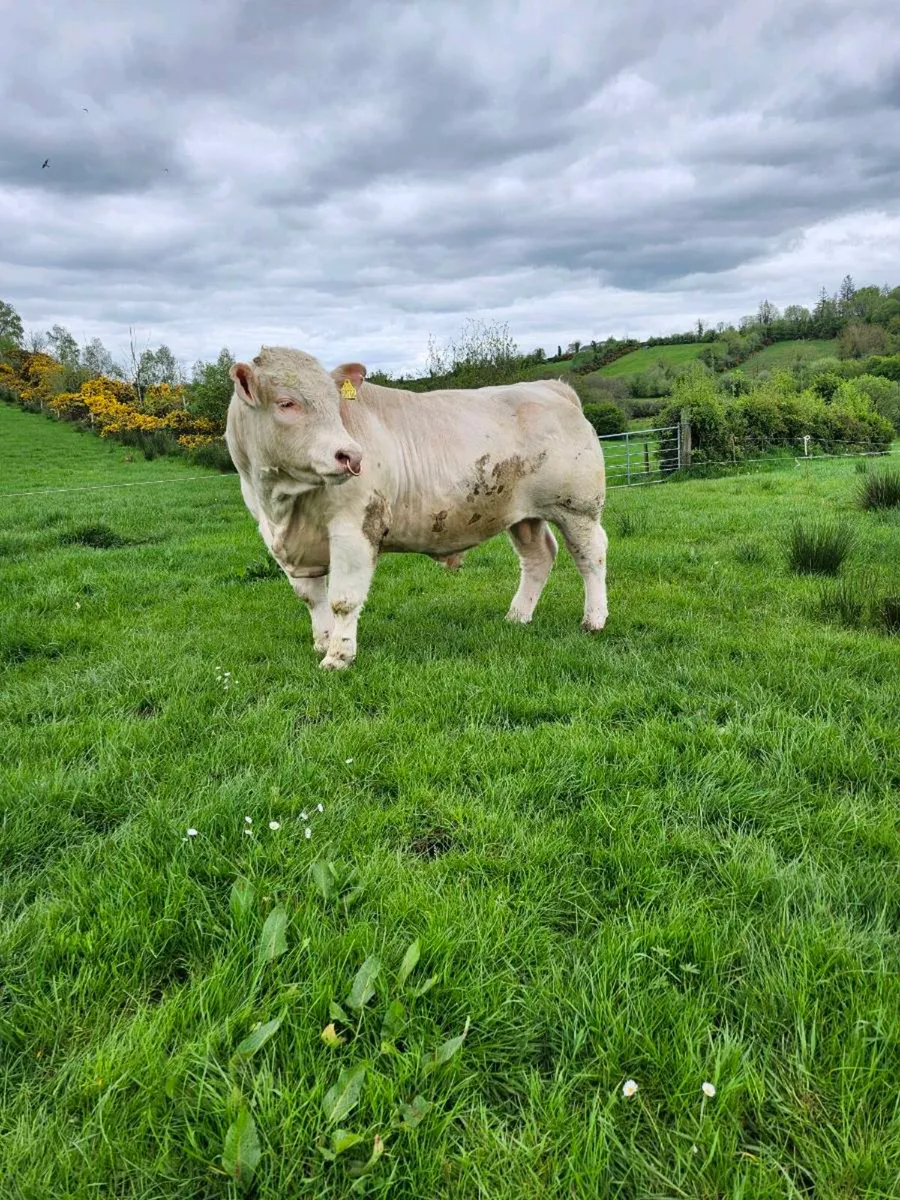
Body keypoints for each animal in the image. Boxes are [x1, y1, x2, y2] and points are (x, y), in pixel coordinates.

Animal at [225, 347, 608, 670]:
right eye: (286, 403)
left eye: (335, 404)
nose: (351, 455)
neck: (282, 504)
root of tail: (550, 387)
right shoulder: (277, 536)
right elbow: (311, 598)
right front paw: (323, 641)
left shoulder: (355, 528)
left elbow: (343, 600)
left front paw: (338, 657)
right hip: (523, 514)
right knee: (538, 557)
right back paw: (517, 616)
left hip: (578, 507)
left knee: (591, 555)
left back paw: (594, 620)